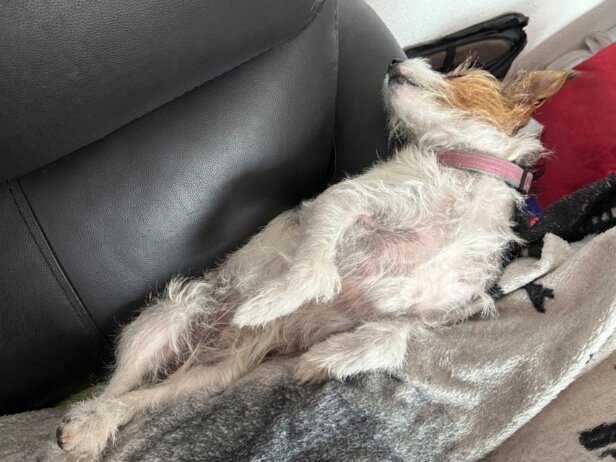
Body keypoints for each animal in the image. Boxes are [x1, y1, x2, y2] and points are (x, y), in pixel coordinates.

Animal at [55, 58, 572, 460]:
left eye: (462, 72)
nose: (391, 61)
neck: (466, 178)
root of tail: (198, 347)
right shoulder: (345, 203)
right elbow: (313, 266)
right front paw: (270, 304)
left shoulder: (441, 308)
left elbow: (394, 337)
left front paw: (327, 359)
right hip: (168, 317)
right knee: (117, 385)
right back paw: (83, 425)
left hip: (213, 375)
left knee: (144, 399)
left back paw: (98, 424)